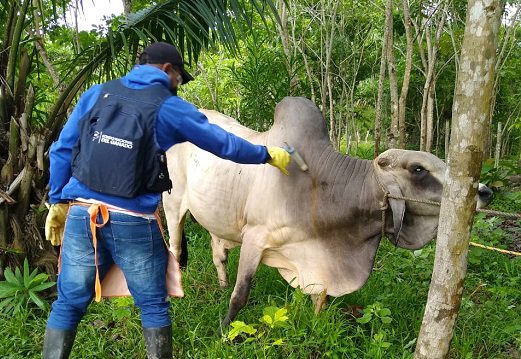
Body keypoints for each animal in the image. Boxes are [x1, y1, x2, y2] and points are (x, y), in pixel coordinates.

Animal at [164, 97, 492, 328]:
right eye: (419, 170)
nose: (485, 192)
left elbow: (318, 299)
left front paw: (314, 325)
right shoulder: (255, 238)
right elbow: (240, 295)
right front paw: (223, 330)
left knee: (217, 252)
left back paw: (219, 285)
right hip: (173, 204)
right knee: (176, 248)